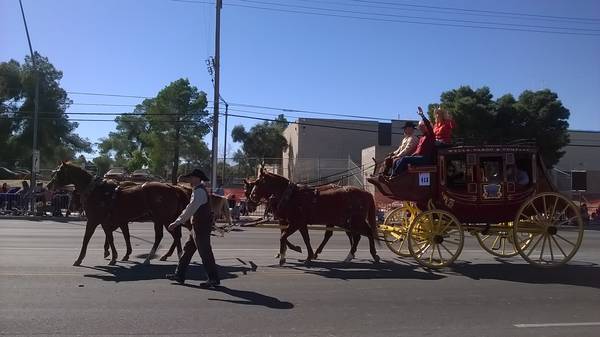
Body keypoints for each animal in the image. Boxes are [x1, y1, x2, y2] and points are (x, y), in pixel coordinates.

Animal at [49, 161, 190, 266]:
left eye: (59, 172)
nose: (49, 185)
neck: (96, 192)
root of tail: (173, 188)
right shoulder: (111, 221)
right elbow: (114, 237)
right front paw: (115, 256)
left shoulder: (94, 220)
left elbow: (87, 238)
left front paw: (79, 259)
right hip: (163, 220)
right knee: (171, 236)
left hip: (164, 219)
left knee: (171, 236)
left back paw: (160, 257)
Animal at [248, 169, 380, 264]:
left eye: (258, 183)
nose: (252, 197)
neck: (290, 196)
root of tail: (366, 193)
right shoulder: (300, 223)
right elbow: (305, 238)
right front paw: (309, 255)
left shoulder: (295, 223)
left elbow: (283, 236)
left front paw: (283, 257)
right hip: (349, 221)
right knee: (359, 235)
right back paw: (358, 255)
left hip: (355, 221)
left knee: (365, 233)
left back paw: (364, 255)